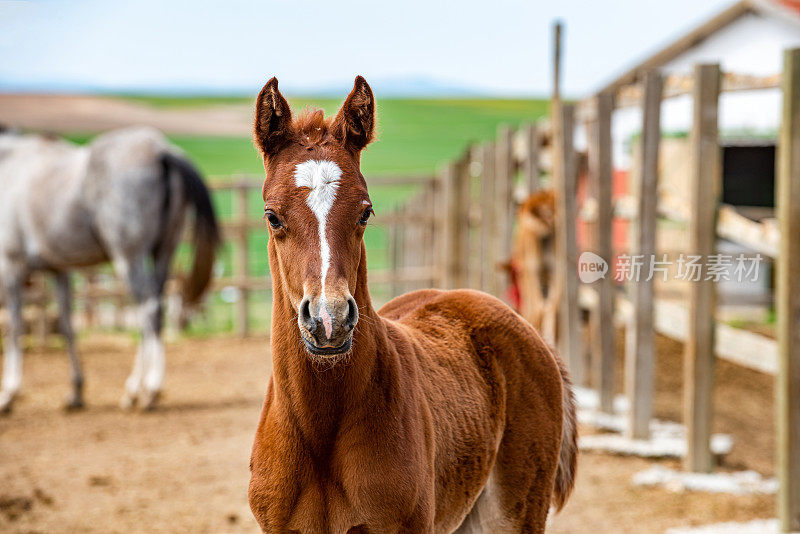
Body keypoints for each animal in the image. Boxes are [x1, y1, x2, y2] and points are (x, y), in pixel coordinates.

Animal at [0, 126, 219, 414]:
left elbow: (14, 327)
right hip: (164, 252)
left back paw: (147, 389)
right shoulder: (59, 269)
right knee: (153, 311)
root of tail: (160, 150)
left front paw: (9, 393)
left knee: (148, 310)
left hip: (129, 257)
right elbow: (67, 325)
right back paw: (137, 390)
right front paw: (76, 391)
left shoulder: (11, 264)